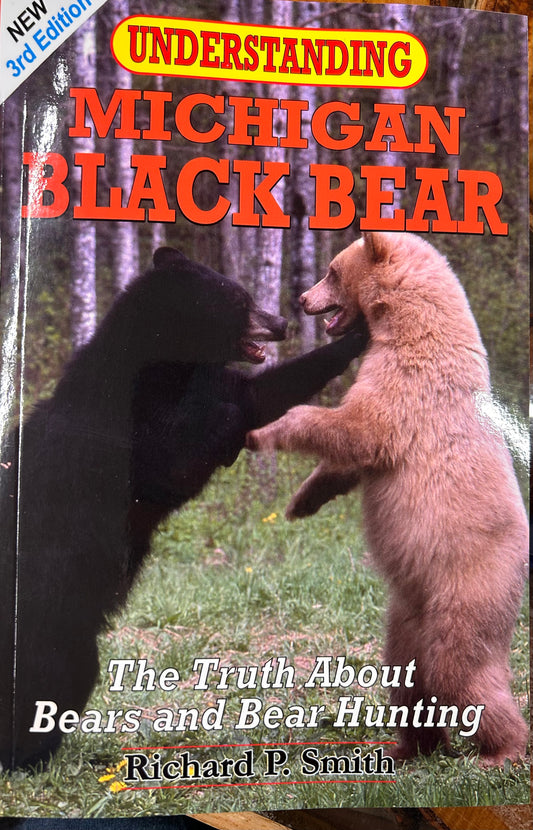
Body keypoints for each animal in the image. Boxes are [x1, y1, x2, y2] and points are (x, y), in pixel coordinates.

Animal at [0, 247, 368, 770]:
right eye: (240, 300)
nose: (281, 321)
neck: (163, 369)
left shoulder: (212, 385)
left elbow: (260, 393)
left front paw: (359, 334)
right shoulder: (129, 433)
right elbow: (175, 461)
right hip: (46, 609)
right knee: (49, 672)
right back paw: (24, 754)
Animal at [247, 232, 528, 766]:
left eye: (332, 272)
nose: (302, 299)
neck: (404, 324)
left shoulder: (409, 385)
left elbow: (358, 429)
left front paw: (262, 429)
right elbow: (353, 459)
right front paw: (302, 501)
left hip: (469, 585)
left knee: (462, 668)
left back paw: (501, 749)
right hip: (402, 623)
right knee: (410, 682)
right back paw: (408, 747)